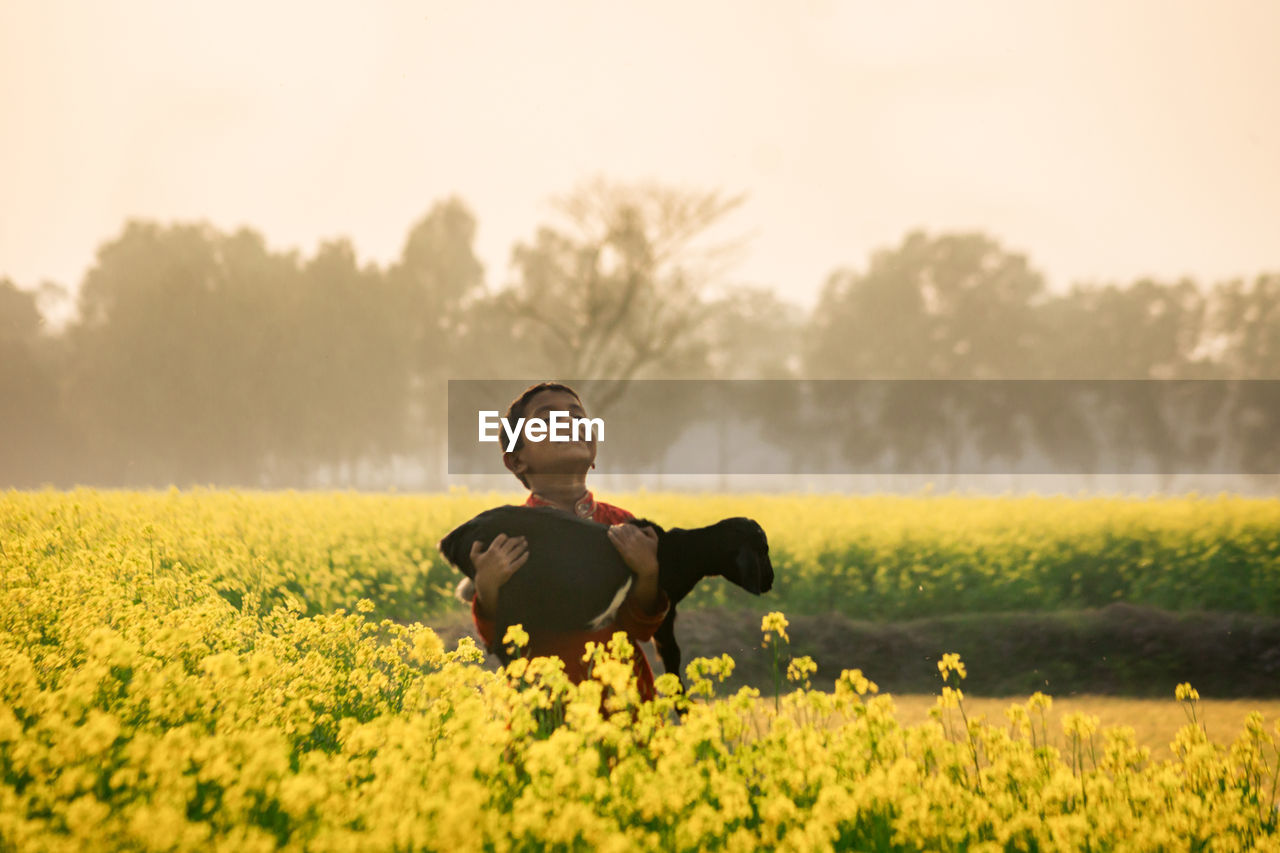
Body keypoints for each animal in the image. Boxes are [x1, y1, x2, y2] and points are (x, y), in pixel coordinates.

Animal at [435, 504, 773, 676]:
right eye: (762, 549)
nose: (769, 581)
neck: (675, 550)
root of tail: (455, 537)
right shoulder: (666, 609)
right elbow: (672, 656)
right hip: (514, 593)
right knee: (506, 648)